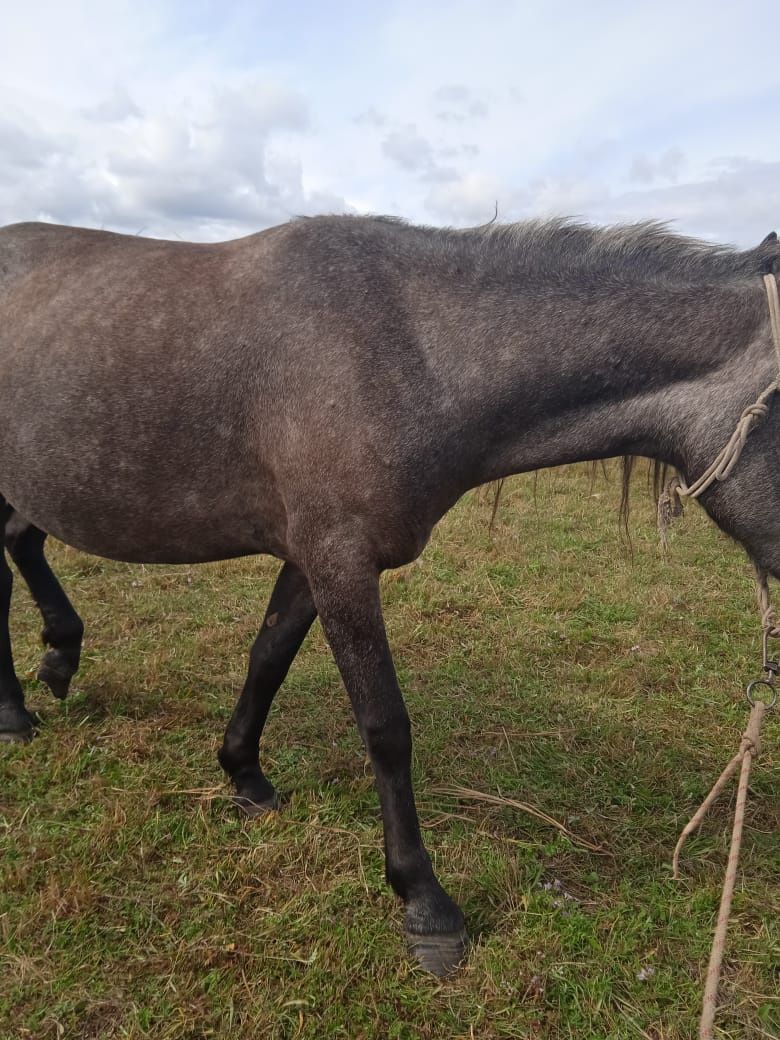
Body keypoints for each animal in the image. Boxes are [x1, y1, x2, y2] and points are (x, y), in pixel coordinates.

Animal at [0, 213, 777, 973]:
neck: (410, 350)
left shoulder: (313, 559)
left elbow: (267, 659)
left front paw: (244, 775)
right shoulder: (340, 561)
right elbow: (385, 726)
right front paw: (424, 901)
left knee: (21, 544)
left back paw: (60, 657)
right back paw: (15, 712)